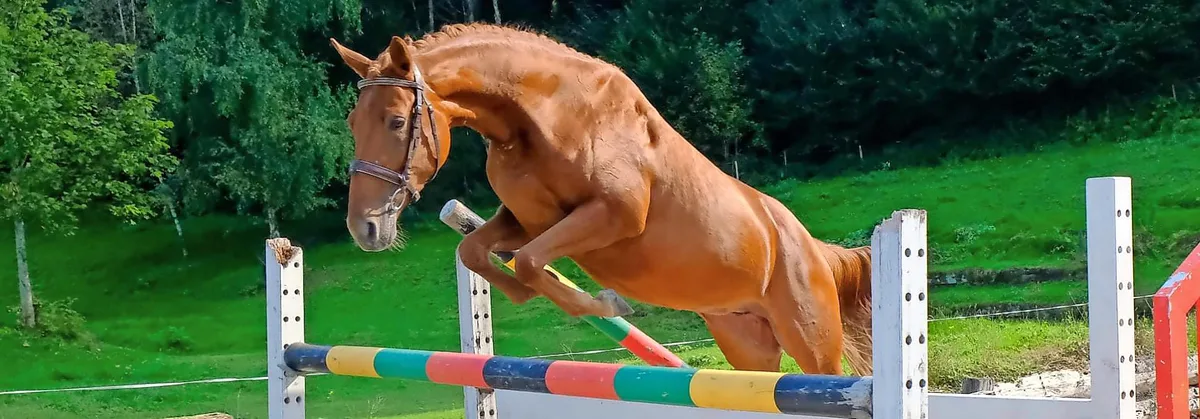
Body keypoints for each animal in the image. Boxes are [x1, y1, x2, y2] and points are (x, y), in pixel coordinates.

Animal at [329, 23, 874, 376]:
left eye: (395, 122)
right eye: (353, 123)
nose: (364, 229)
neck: (539, 117)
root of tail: (815, 250)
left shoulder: (614, 216)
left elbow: (529, 261)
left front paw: (607, 301)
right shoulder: (525, 219)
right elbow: (479, 252)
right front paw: (539, 294)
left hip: (812, 341)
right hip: (748, 345)